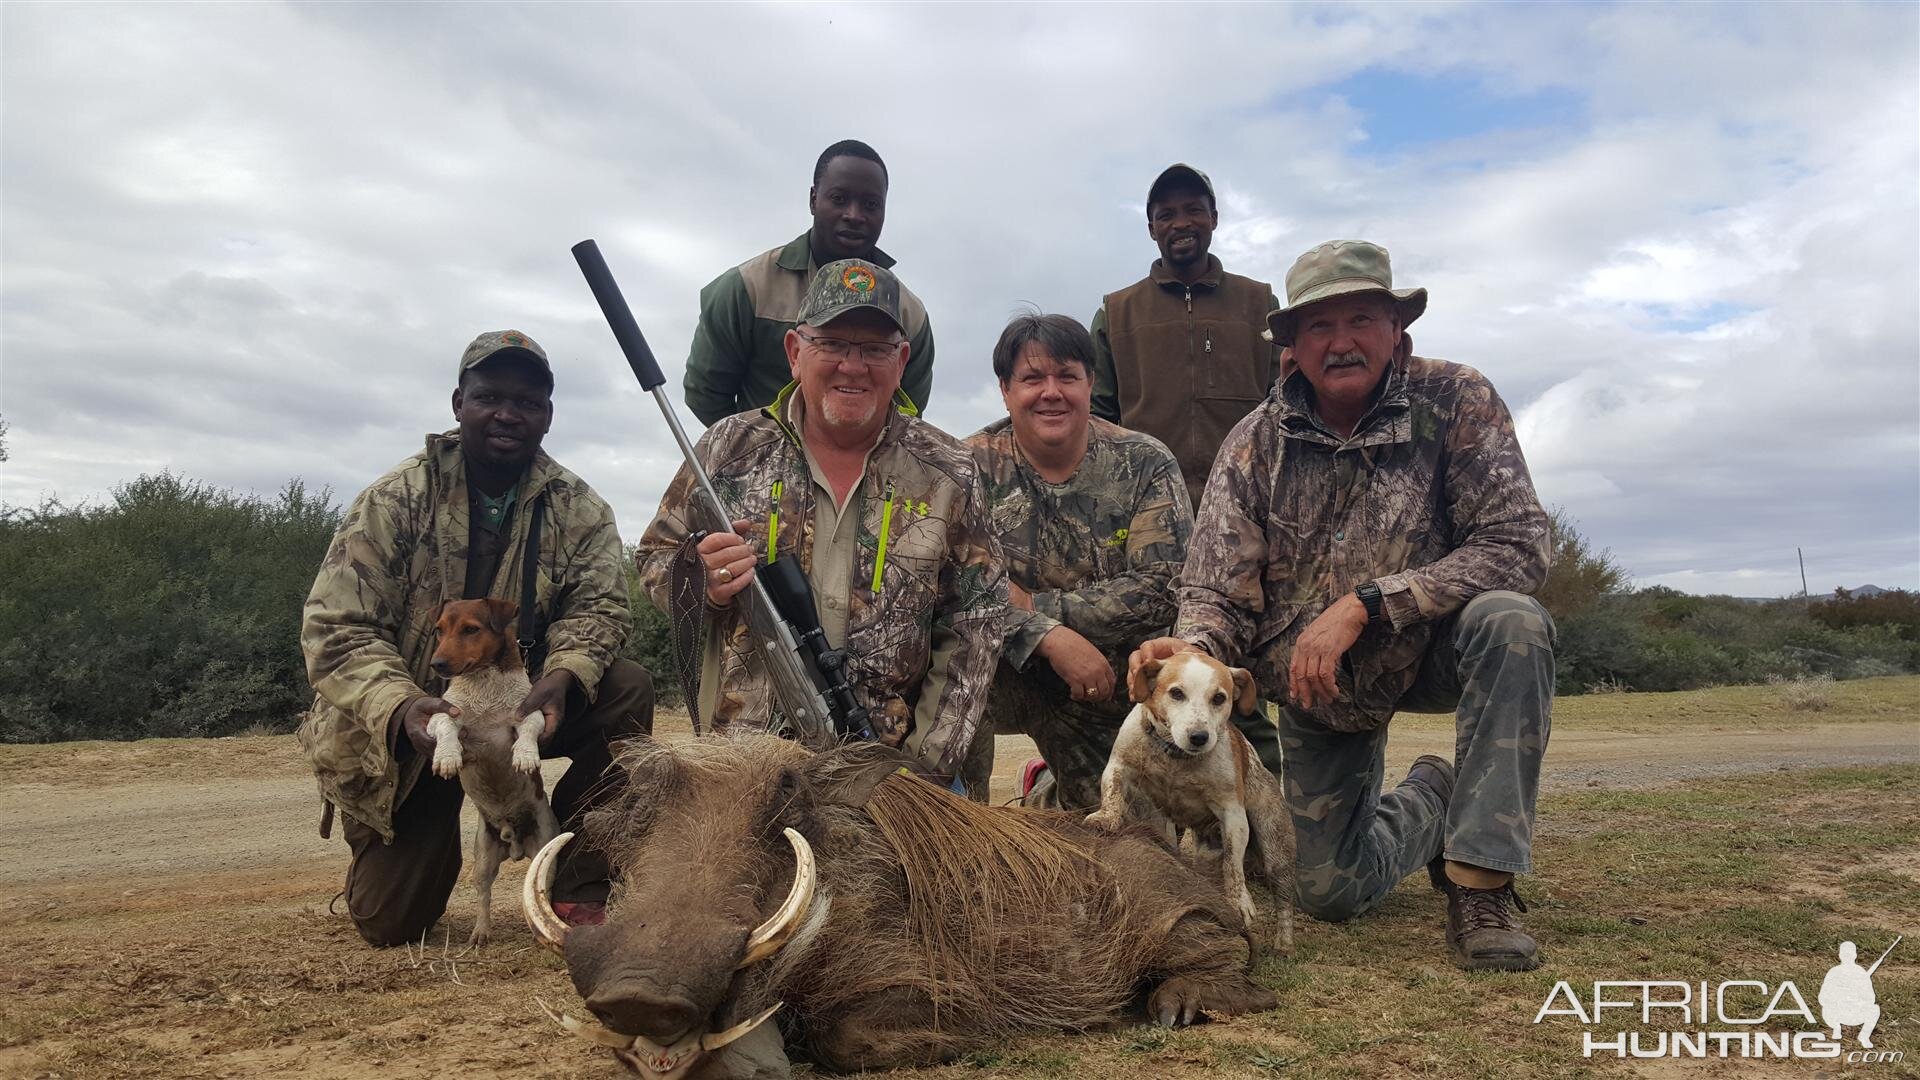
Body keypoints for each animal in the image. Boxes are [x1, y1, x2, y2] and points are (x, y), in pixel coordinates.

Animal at [430, 595, 560, 941]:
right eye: (439, 630)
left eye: (470, 629)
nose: (437, 664)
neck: (484, 686)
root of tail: (513, 841)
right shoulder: (443, 715)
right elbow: (446, 726)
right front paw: (447, 757)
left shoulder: (531, 713)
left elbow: (528, 731)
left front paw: (525, 755)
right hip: (484, 859)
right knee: (484, 895)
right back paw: (481, 931)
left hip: (546, 849)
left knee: (542, 889)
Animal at [1090, 645, 1297, 941]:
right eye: (1176, 693)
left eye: (1219, 698)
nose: (1199, 736)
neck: (1177, 757)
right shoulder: (1120, 763)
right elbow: (1113, 789)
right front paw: (1105, 817)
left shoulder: (1233, 815)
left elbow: (1233, 865)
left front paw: (1239, 902)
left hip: (1276, 845)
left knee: (1283, 900)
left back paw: (1284, 942)